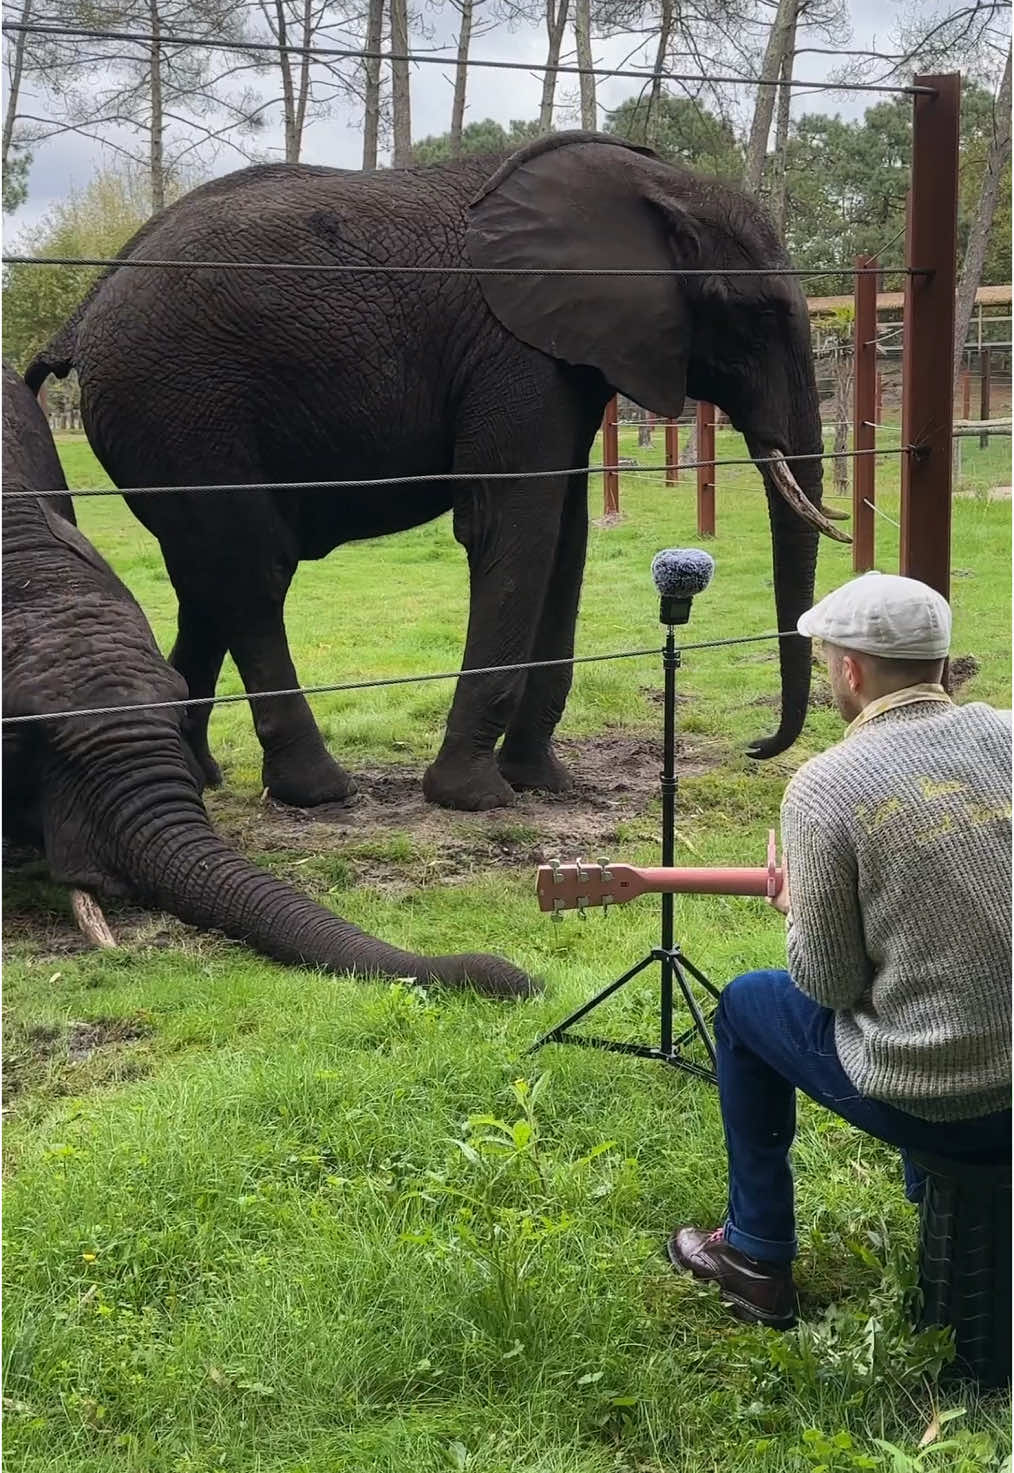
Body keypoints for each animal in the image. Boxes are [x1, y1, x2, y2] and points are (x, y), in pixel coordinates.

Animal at [25, 128, 848, 813]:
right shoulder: (512, 355)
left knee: (205, 575)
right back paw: (317, 792)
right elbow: (513, 529)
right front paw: (474, 797)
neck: (649, 180)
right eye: (754, 313)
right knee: (252, 570)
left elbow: (565, 535)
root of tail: (86, 307)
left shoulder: (563, 357)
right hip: (186, 402)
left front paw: (542, 782)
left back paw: (201, 775)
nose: (756, 747)